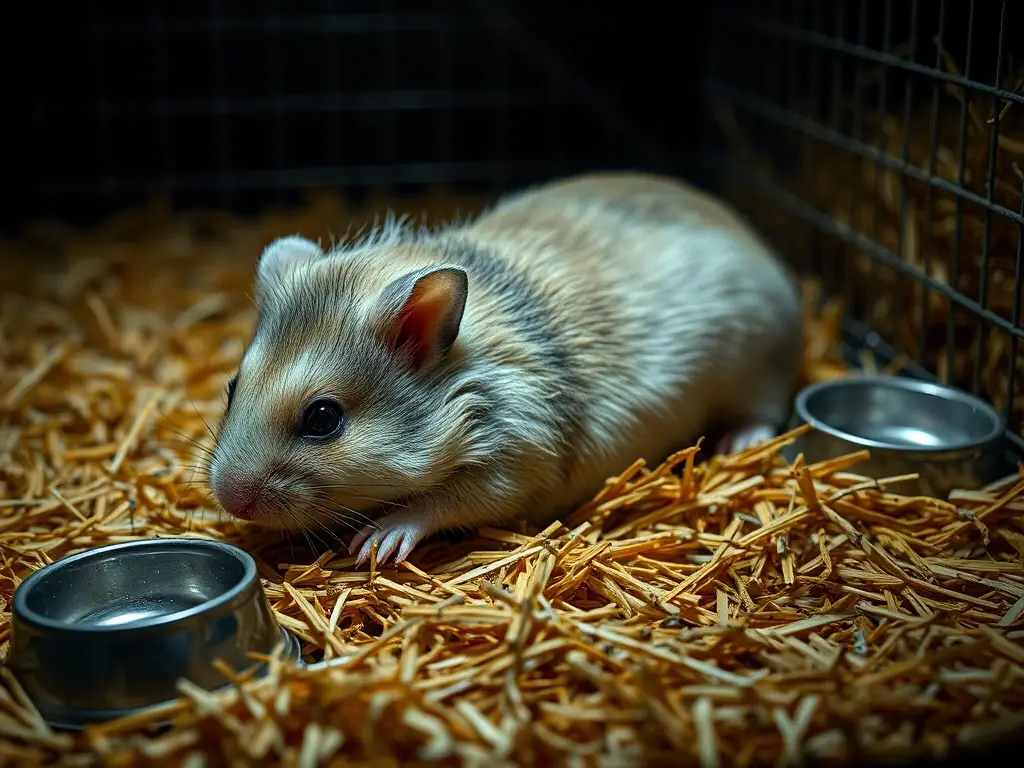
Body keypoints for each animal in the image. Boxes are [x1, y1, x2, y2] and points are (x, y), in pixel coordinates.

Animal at [208, 171, 802, 566]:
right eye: (233, 388)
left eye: (324, 418)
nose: (228, 501)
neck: (463, 382)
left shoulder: (516, 460)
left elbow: (441, 502)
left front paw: (379, 540)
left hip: (757, 369)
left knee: (763, 410)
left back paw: (741, 443)